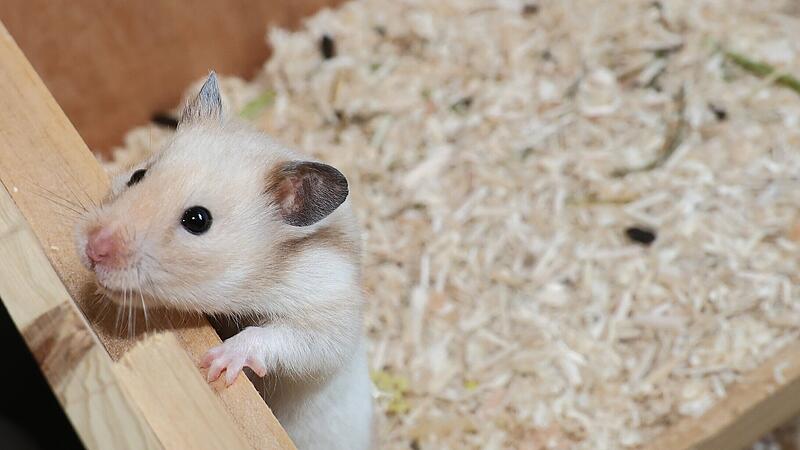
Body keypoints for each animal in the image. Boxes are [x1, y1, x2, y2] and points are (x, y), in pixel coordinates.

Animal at [75, 73, 373, 450]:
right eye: (138, 175)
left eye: (198, 220)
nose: (92, 250)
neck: (256, 279)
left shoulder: (327, 312)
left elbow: (282, 338)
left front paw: (216, 364)